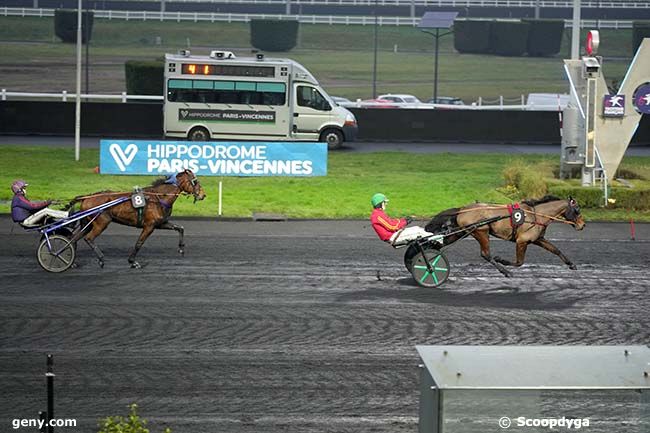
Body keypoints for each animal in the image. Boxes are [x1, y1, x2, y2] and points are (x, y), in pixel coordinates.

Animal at [66, 169, 205, 266]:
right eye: (195, 181)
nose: (203, 195)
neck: (158, 198)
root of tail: (87, 197)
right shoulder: (149, 226)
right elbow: (139, 243)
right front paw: (132, 261)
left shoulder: (160, 223)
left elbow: (180, 228)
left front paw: (181, 249)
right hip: (102, 222)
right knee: (89, 238)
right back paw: (100, 259)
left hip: (87, 224)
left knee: (73, 239)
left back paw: (71, 262)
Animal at [422, 196, 584, 276]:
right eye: (577, 210)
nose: (582, 225)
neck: (535, 214)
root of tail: (462, 209)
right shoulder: (522, 241)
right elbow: (519, 262)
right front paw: (502, 261)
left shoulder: (538, 239)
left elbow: (556, 250)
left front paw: (571, 264)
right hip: (481, 231)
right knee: (486, 254)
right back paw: (505, 271)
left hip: (461, 232)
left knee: (439, 243)